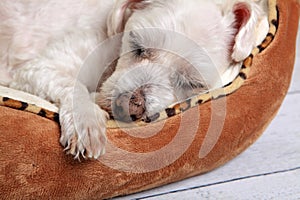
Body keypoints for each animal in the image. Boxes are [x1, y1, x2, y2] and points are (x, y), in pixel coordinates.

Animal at [0, 0, 268, 159]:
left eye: (191, 83)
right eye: (138, 47)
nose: (131, 106)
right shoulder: (36, 68)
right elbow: (72, 85)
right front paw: (85, 120)